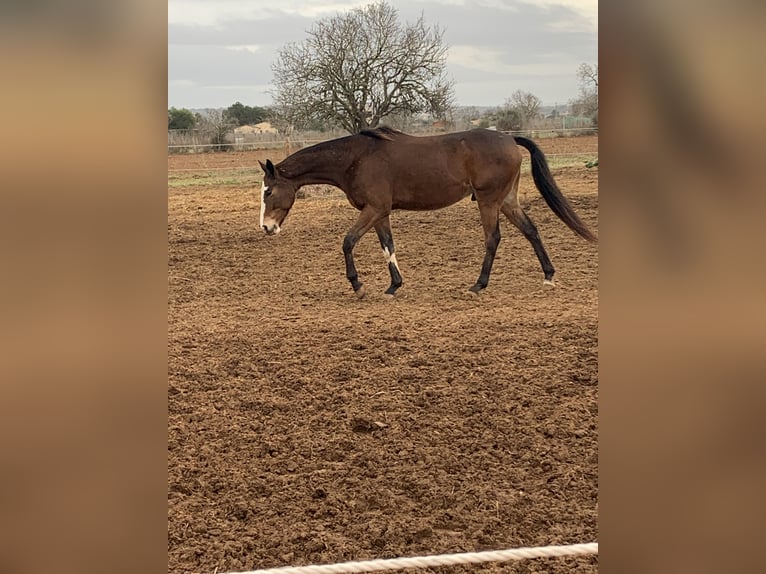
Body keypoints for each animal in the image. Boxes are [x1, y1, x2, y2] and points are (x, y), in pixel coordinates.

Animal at [260, 127, 600, 300]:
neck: (357, 158)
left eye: (267, 191)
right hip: (506, 200)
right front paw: (393, 286)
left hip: (488, 201)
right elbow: (388, 247)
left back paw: (478, 285)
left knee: (493, 238)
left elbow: (348, 241)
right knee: (531, 230)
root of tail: (508, 137)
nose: (266, 227)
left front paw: (358, 285)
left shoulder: (373, 209)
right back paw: (548, 277)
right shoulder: (381, 212)